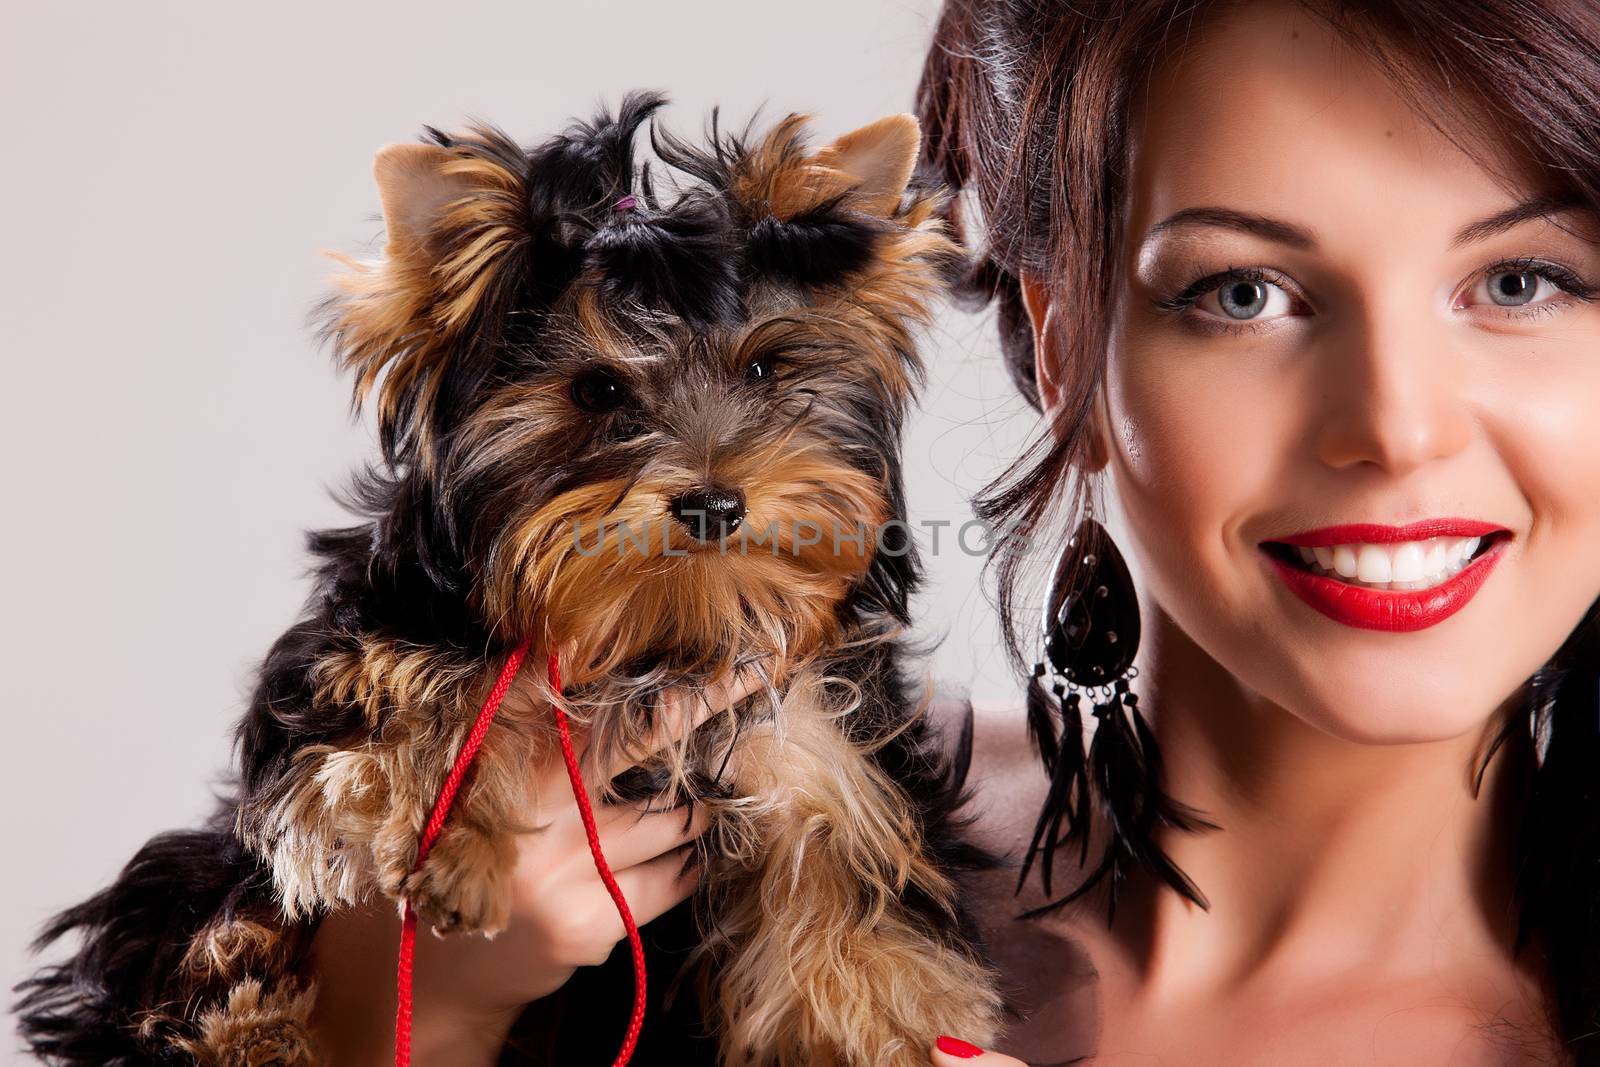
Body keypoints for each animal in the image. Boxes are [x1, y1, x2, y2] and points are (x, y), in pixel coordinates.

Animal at [18, 93, 998, 1067]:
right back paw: (246, 1020)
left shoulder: (818, 751)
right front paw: (461, 851)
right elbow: (421, 704)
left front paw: (901, 1017)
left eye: (764, 367)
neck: (652, 636)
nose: (715, 502)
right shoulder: (362, 654)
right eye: (597, 391)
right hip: (190, 881)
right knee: (200, 919)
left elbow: (850, 892)